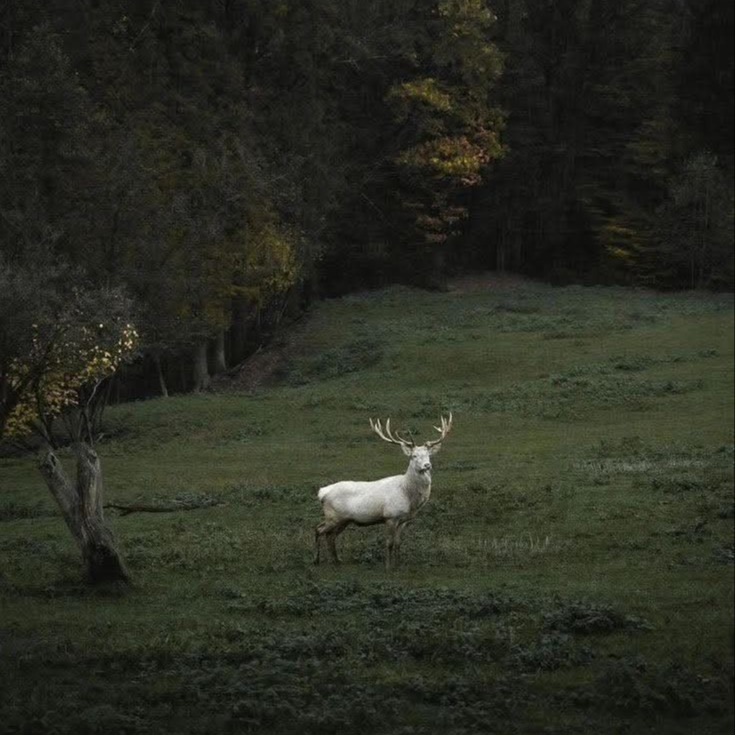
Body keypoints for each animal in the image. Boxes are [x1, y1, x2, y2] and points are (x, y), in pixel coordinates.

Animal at [314, 413, 452, 570]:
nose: (427, 465)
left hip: (343, 520)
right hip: (333, 516)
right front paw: (388, 567)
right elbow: (389, 543)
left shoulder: (403, 520)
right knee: (319, 529)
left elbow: (398, 543)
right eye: (414, 456)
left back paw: (336, 561)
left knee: (330, 536)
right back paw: (317, 560)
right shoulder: (390, 516)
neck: (409, 496)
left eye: (428, 455)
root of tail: (322, 492)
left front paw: (398, 565)